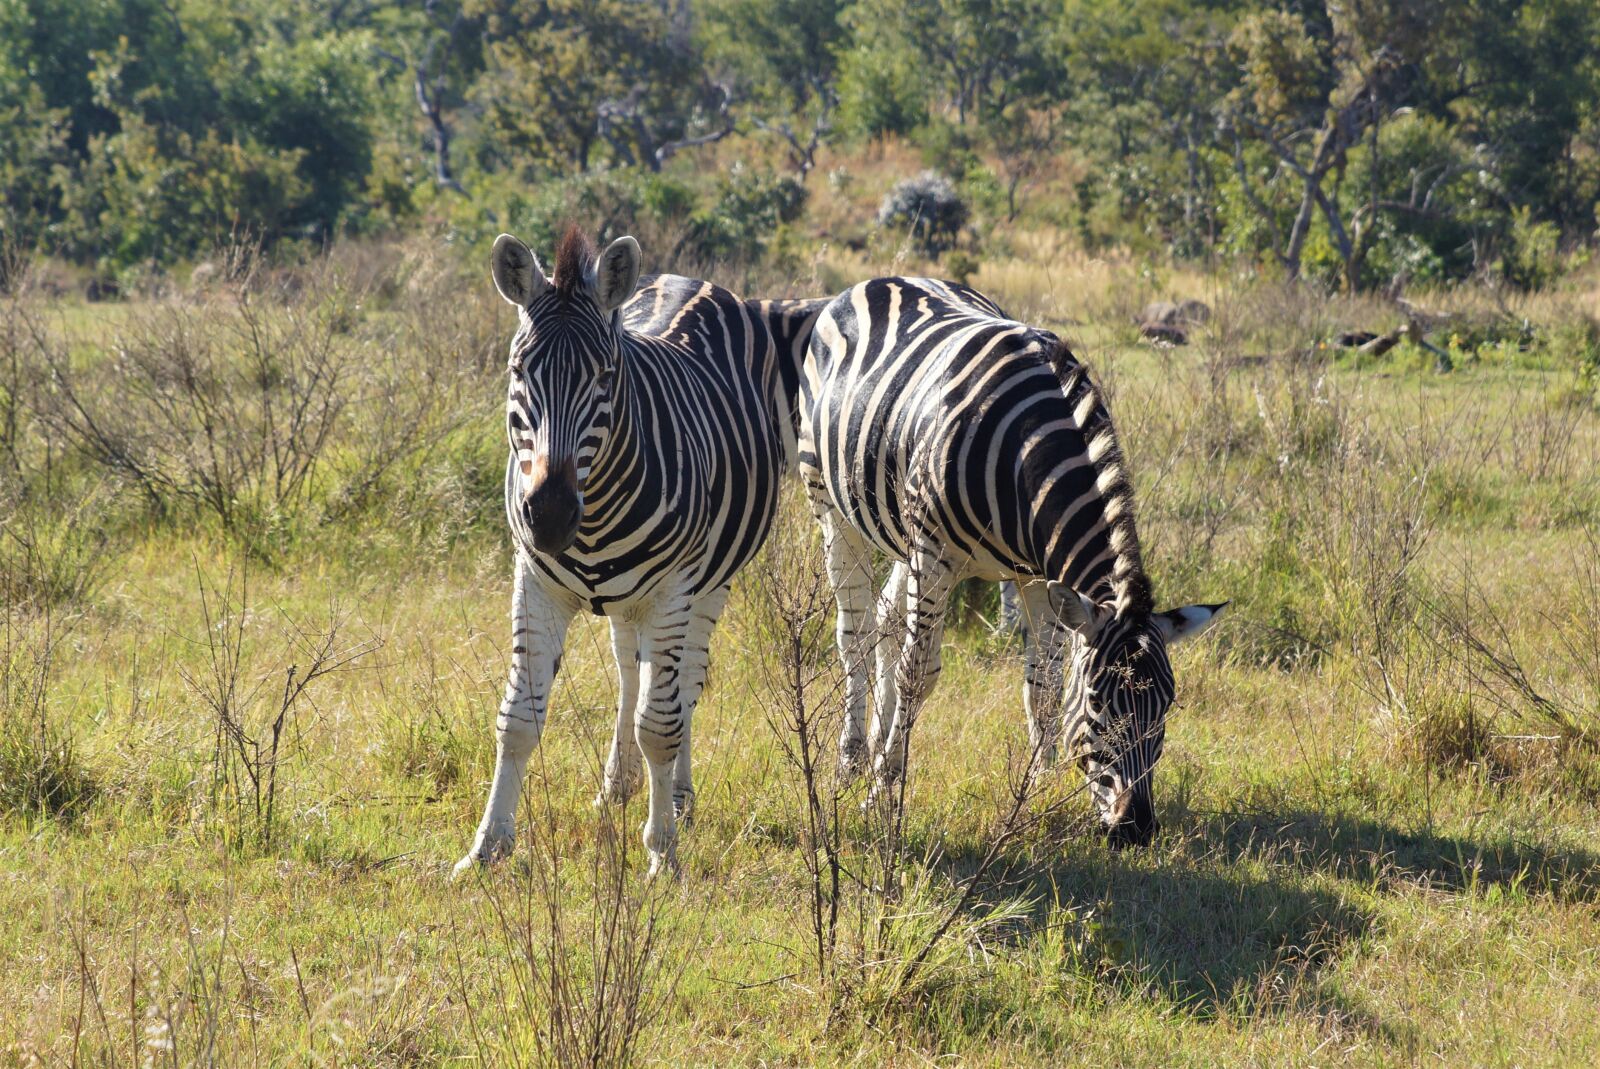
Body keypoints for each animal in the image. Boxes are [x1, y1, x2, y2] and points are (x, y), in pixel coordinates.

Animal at [457, 225, 819, 876]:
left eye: (605, 376)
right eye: (519, 370)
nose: (550, 515)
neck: (594, 512)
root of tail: (687, 279)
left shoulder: (675, 589)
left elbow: (661, 724)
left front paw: (662, 853)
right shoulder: (536, 581)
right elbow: (519, 718)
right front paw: (486, 849)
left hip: (707, 583)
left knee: (682, 682)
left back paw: (677, 796)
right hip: (627, 599)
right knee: (634, 674)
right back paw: (617, 787)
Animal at [800, 280, 1222, 844]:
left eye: (1167, 706)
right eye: (1098, 703)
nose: (1135, 829)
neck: (1030, 447)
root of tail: (884, 280)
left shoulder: (1038, 575)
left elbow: (1043, 685)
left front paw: (1038, 787)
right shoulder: (934, 553)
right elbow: (919, 673)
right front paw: (884, 791)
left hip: (901, 533)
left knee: (888, 620)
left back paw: (871, 744)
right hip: (831, 504)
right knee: (856, 634)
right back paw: (851, 764)